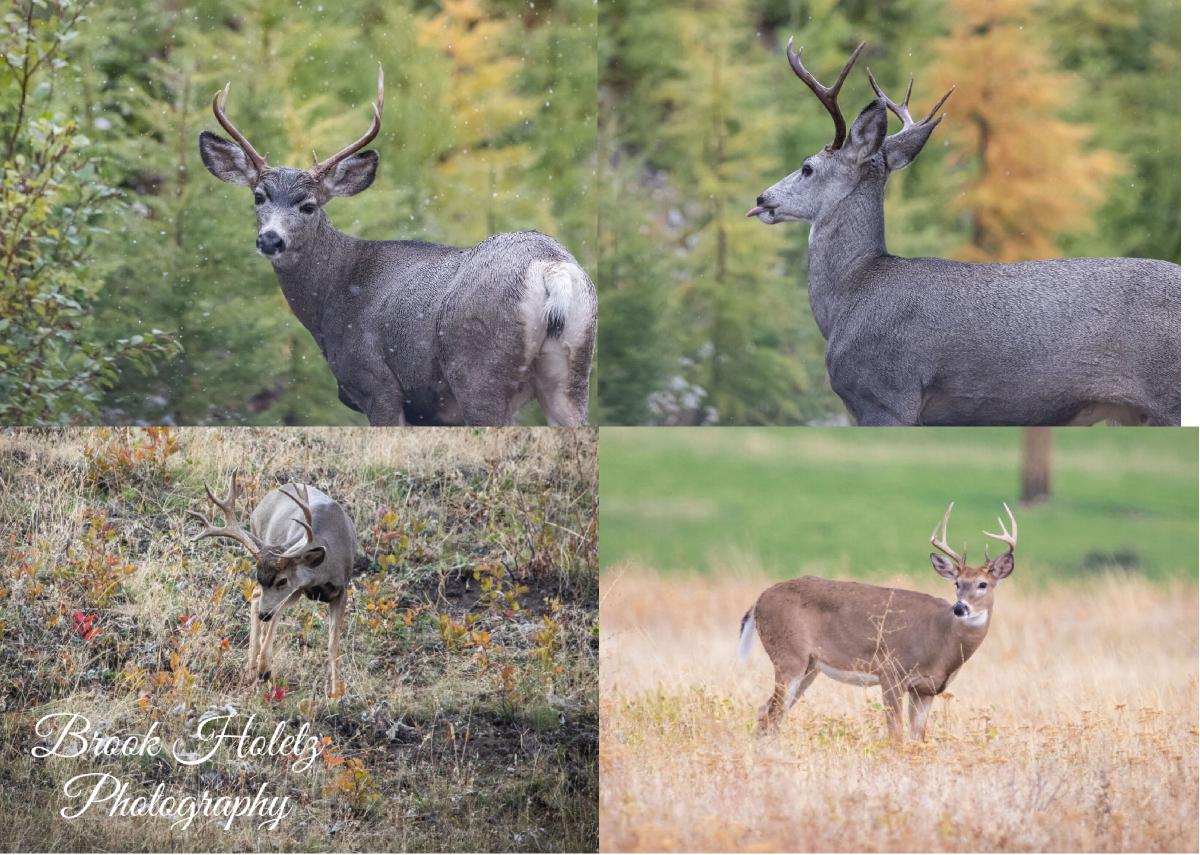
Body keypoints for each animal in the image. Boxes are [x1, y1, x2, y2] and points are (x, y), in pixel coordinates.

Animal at [187, 472, 357, 697]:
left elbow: (333, 646)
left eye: (282, 580)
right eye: (259, 576)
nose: (263, 615)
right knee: (258, 599)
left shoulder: (341, 589)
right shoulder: (294, 589)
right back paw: (252, 671)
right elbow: (273, 624)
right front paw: (264, 670)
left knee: (259, 600)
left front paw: (335, 694)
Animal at [198, 66, 596, 426]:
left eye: (308, 206)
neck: (332, 298)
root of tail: (551, 267)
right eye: (258, 196)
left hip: (479, 374)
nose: (270, 239)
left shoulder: (377, 384)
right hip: (572, 373)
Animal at [738, 502, 1017, 743]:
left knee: (768, 711)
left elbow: (918, 739)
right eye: (957, 583)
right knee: (770, 713)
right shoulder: (891, 671)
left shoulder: (926, 690)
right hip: (788, 655)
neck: (940, 641)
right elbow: (896, 738)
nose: (960, 607)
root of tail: (758, 601)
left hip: (810, 666)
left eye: (983, 584)